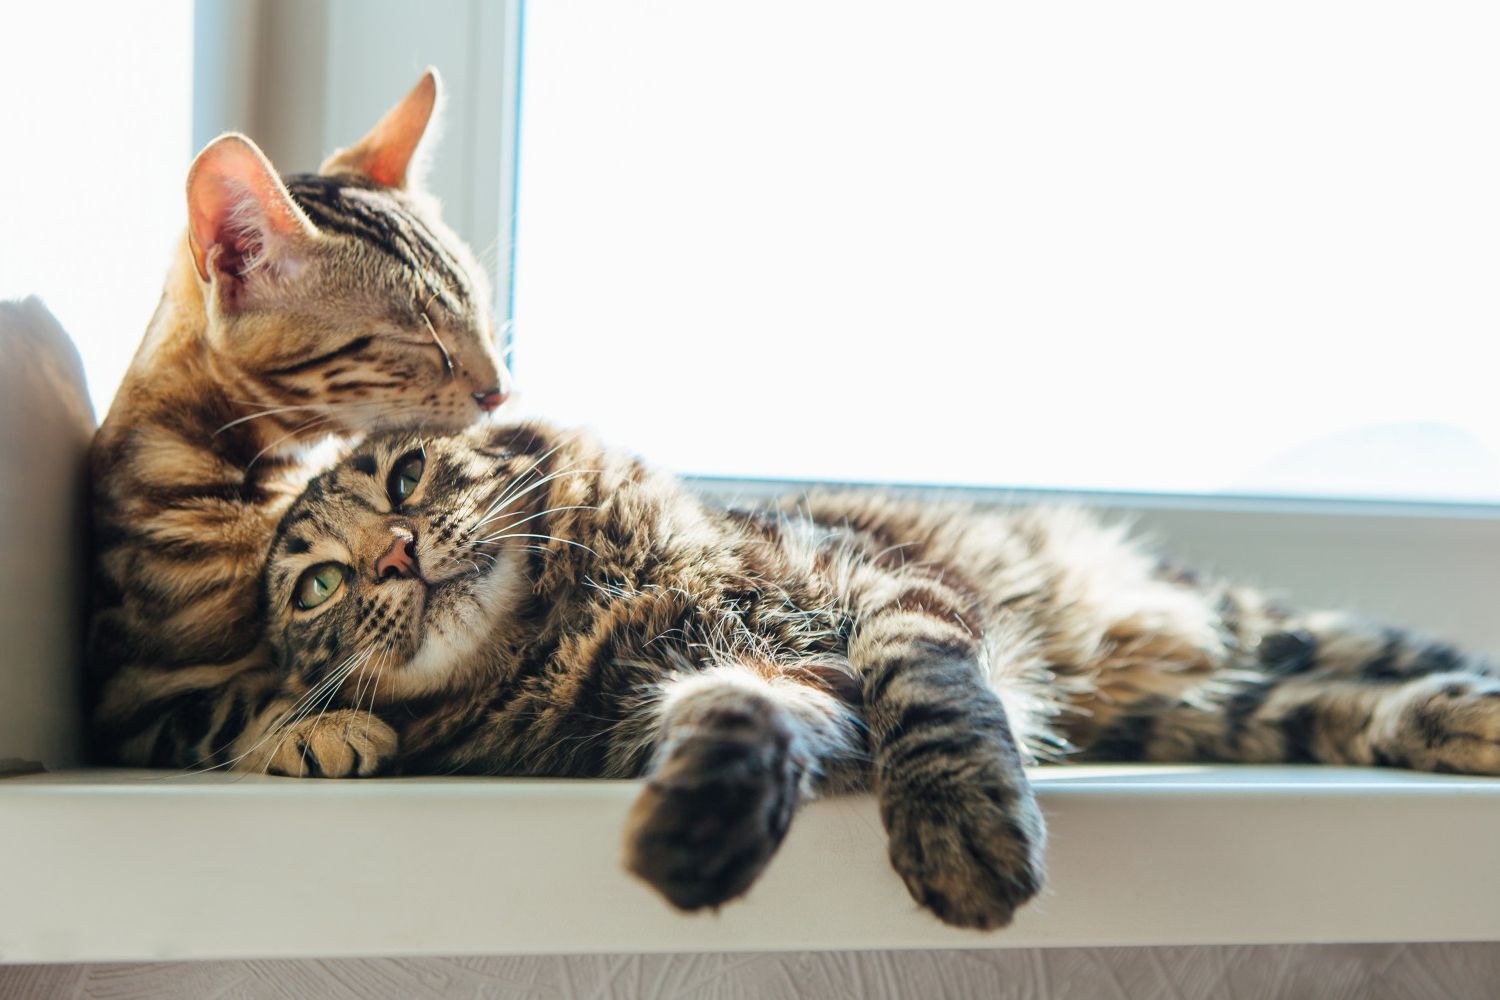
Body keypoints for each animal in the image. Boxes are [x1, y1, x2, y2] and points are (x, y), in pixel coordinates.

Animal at [89, 70, 510, 773]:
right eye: (419, 341)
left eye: (477, 310)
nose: (501, 391)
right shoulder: (130, 704)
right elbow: (230, 708)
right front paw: (317, 727)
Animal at [264, 419, 1500, 929]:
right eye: (317, 585)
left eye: (407, 475)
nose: (392, 554)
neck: (586, 613)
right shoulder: (768, 684)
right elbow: (739, 714)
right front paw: (703, 825)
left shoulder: (886, 592)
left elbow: (931, 690)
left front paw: (962, 831)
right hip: (1213, 713)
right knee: (1346, 710)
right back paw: (1455, 726)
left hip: (1247, 629)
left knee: (1385, 656)